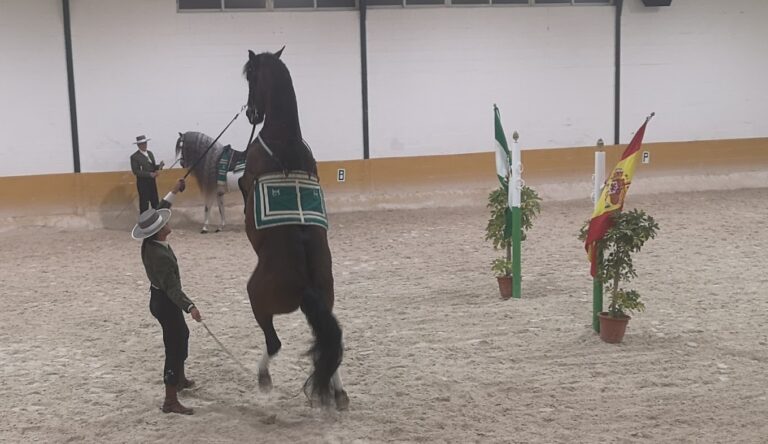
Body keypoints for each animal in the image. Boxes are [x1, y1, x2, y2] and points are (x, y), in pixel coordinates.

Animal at [239, 47, 348, 410]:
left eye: (250, 76)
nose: (250, 113)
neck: (284, 139)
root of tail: (307, 285)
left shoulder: (245, 182)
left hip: (258, 299)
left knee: (274, 343)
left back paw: (264, 379)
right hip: (326, 302)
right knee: (328, 348)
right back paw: (338, 392)